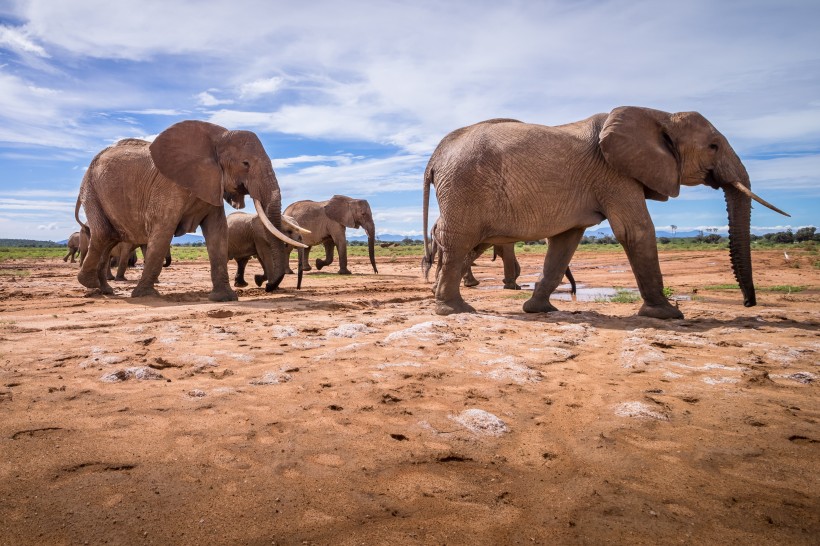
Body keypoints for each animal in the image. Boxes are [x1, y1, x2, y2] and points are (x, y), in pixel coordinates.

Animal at [422, 106, 788, 316]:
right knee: (459, 242)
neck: (659, 115)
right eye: (713, 146)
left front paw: (538, 310)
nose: (749, 304)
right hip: (464, 188)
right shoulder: (615, 174)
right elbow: (636, 231)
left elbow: (565, 243)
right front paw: (668, 315)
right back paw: (454, 310)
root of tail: (435, 156)